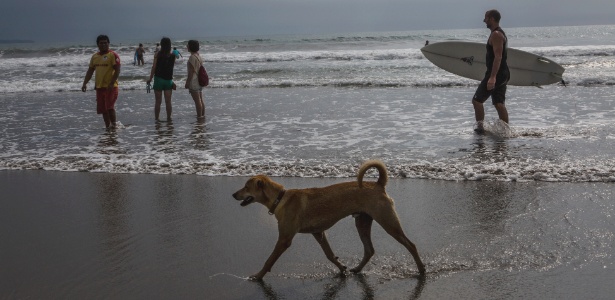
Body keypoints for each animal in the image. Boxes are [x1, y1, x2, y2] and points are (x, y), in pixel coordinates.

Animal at [233, 161, 426, 280]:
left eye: (246, 187)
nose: (233, 194)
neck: (280, 198)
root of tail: (378, 184)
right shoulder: (318, 233)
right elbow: (329, 254)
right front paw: (342, 268)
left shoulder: (284, 239)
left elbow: (269, 259)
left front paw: (258, 276)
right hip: (362, 222)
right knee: (369, 249)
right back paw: (357, 269)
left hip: (387, 222)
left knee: (411, 245)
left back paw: (421, 270)